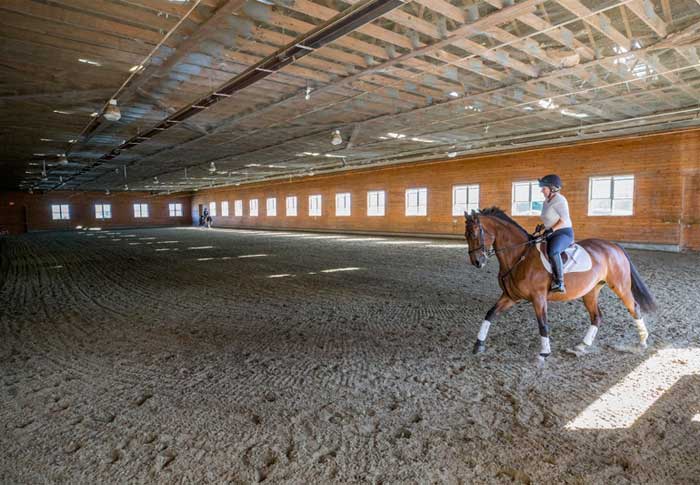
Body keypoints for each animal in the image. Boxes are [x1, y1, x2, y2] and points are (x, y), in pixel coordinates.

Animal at [464, 206, 656, 362]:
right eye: (466, 235)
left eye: (474, 234)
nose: (477, 262)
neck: (520, 256)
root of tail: (614, 246)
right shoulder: (511, 296)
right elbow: (490, 314)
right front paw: (479, 344)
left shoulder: (538, 298)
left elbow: (543, 324)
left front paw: (544, 353)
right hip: (590, 291)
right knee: (597, 316)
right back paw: (583, 345)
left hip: (620, 286)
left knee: (634, 308)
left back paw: (642, 341)